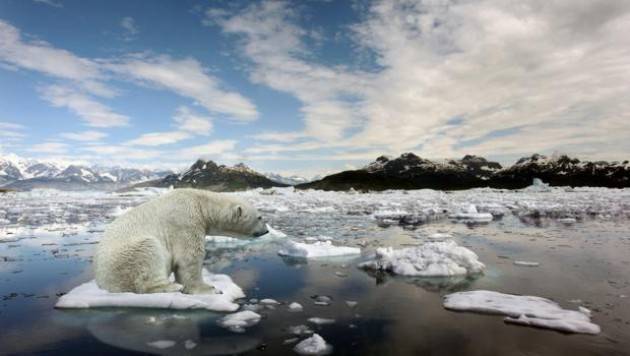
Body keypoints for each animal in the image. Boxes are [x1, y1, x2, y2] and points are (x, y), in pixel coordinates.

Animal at [94, 189, 270, 294]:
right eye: (260, 217)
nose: (267, 231)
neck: (199, 202)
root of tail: (102, 283)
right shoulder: (185, 222)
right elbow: (189, 258)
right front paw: (210, 288)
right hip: (128, 256)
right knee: (148, 254)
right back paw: (171, 286)